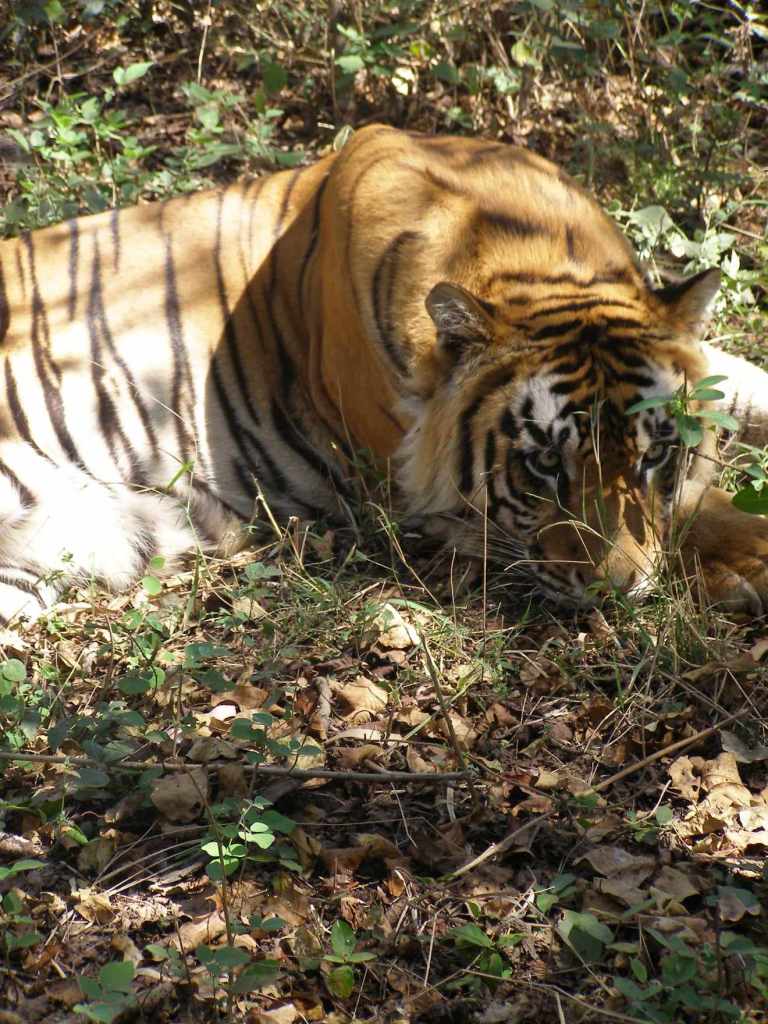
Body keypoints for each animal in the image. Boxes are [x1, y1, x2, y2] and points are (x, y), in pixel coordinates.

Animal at [1, 121, 768, 623]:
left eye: (653, 454)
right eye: (545, 465)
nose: (617, 592)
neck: (532, 260)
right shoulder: (423, 500)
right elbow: (694, 505)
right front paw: (743, 561)